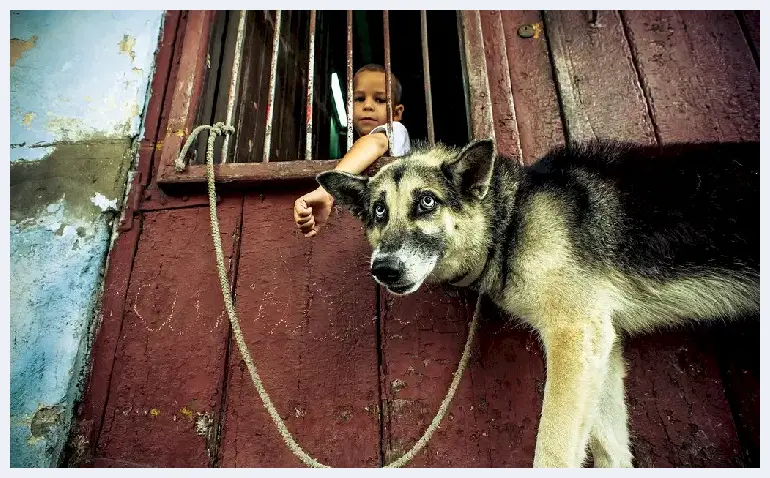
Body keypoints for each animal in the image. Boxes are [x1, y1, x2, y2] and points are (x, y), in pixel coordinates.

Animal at [314, 138, 756, 466]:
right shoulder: (601, 348)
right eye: (379, 211)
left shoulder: (575, 335)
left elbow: (554, 451)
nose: (383, 269)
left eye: (426, 202)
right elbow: (612, 451)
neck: (511, 219)